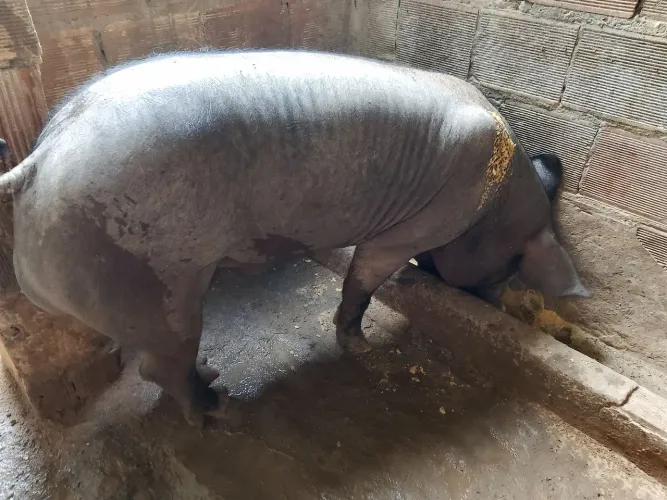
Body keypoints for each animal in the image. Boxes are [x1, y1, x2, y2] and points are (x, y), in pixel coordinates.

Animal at [0, 50, 587, 425]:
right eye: (511, 265)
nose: (494, 297)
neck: (498, 200)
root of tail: (41, 155)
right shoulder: (420, 224)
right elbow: (364, 279)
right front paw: (360, 346)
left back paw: (213, 376)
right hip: (151, 281)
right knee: (158, 364)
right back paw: (219, 411)